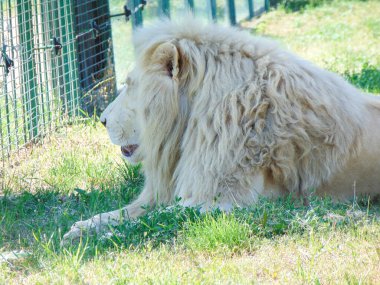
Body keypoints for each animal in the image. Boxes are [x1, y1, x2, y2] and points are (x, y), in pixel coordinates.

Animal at [62, 17, 380, 242]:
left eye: (129, 85)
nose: (102, 120)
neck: (190, 120)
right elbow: (123, 213)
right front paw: (80, 229)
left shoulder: (223, 201)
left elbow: (151, 221)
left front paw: (105, 239)